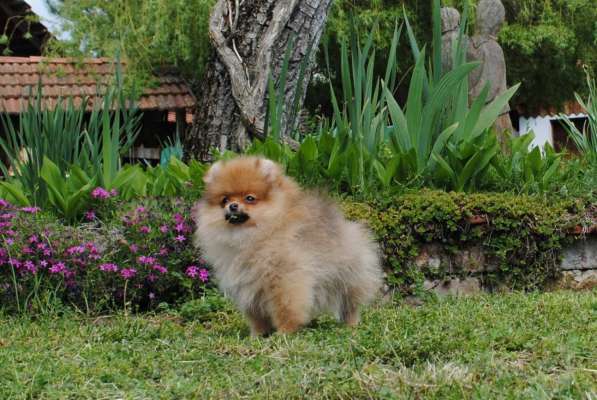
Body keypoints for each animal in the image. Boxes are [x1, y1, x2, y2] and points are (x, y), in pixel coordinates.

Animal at [194, 156, 382, 334]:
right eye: (224, 200)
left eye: (249, 198)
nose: (232, 206)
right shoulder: (248, 284)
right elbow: (255, 314)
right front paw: (257, 334)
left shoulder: (285, 279)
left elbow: (285, 308)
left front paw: (285, 332)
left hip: (349, 277)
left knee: (350, 304)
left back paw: (351, 324)